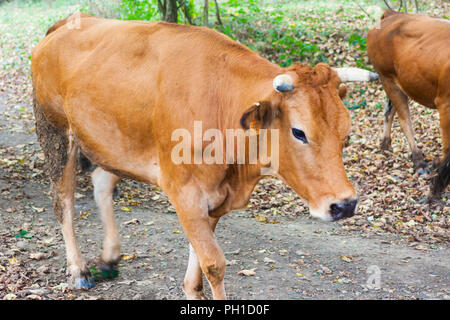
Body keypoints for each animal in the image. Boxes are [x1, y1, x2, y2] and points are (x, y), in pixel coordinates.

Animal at [30, 12, 376, 298]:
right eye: (299, 132)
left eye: (346, 133)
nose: (344, 205)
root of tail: (68, 21)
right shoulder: (185, 193)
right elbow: (214, 264)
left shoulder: (214, 198)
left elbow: (198, 265)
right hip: (54, 130)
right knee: (63, 199)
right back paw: (78, 270)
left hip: (113, 142)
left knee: (102, 182)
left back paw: (109, 257)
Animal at [368, 9, 448, 195]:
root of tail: (393, 14)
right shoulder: (444, 102)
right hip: (387, 78)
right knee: (404, 120)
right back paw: (419, 162)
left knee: (388, 111)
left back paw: (385, 145)